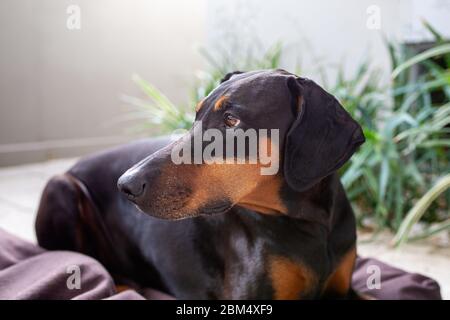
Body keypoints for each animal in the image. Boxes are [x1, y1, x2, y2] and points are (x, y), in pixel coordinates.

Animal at [36, 69, 366, 298]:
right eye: (196, 115)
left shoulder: (343, 289)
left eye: (231, 120)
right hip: (61, 188)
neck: (309, 221)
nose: (126, 185)